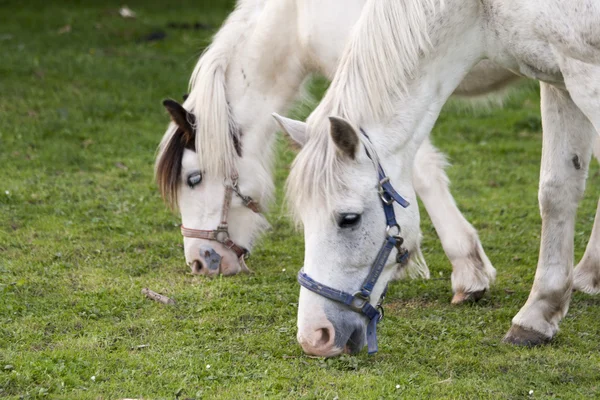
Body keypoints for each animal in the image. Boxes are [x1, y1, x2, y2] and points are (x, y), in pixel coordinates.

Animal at [282, 0, 600, 356]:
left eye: (348, 219)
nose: (315, 337)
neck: (482, 9)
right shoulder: (559, 82)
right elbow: (557, 191)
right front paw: (539, 313)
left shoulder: (584, 74)